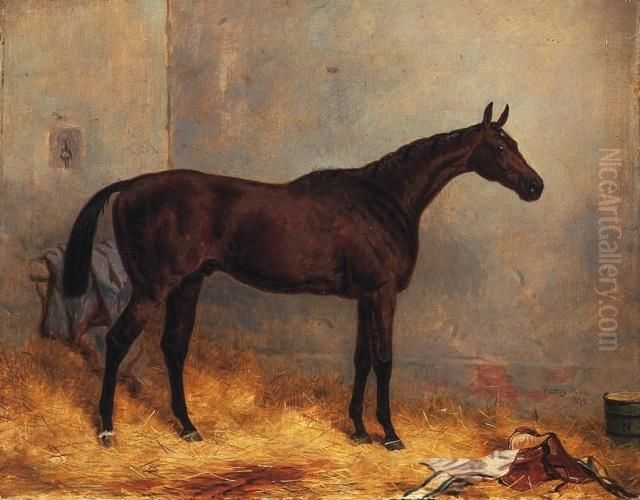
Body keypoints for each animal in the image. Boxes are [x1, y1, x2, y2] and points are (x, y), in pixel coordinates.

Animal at [62, 102, 543, 450]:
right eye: (500, 148)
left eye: (517, 143)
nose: (535, 186)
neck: (384, 200)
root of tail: (130, 185)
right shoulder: (383, 294)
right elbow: (384, 361)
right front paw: (389, 434)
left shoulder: (365, 298)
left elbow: (361, 359)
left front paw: (359, 430)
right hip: (153, 287)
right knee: (117, 340)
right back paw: (107, 429)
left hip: (188, 284)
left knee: (173, 348)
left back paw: (187, 427)